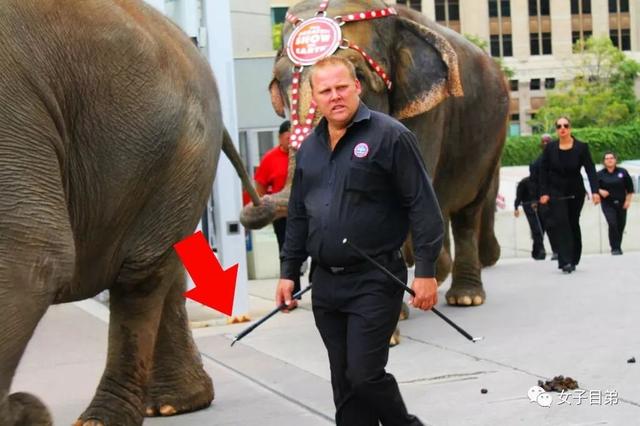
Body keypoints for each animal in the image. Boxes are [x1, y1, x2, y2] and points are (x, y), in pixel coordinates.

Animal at [2, 0, 258, 426]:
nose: (28, 404)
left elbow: (32, 253)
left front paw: (26, 410)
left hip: (184, 151)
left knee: (140, 278)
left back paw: (102, 419)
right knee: (167, 264)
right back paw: (174, 404)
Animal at [240, 0, 510, 306]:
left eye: (357, 75)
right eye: (280, 81)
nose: (253, 207)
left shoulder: (430, 113)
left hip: (492, 140)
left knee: (467, 212)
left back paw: (465, 296)